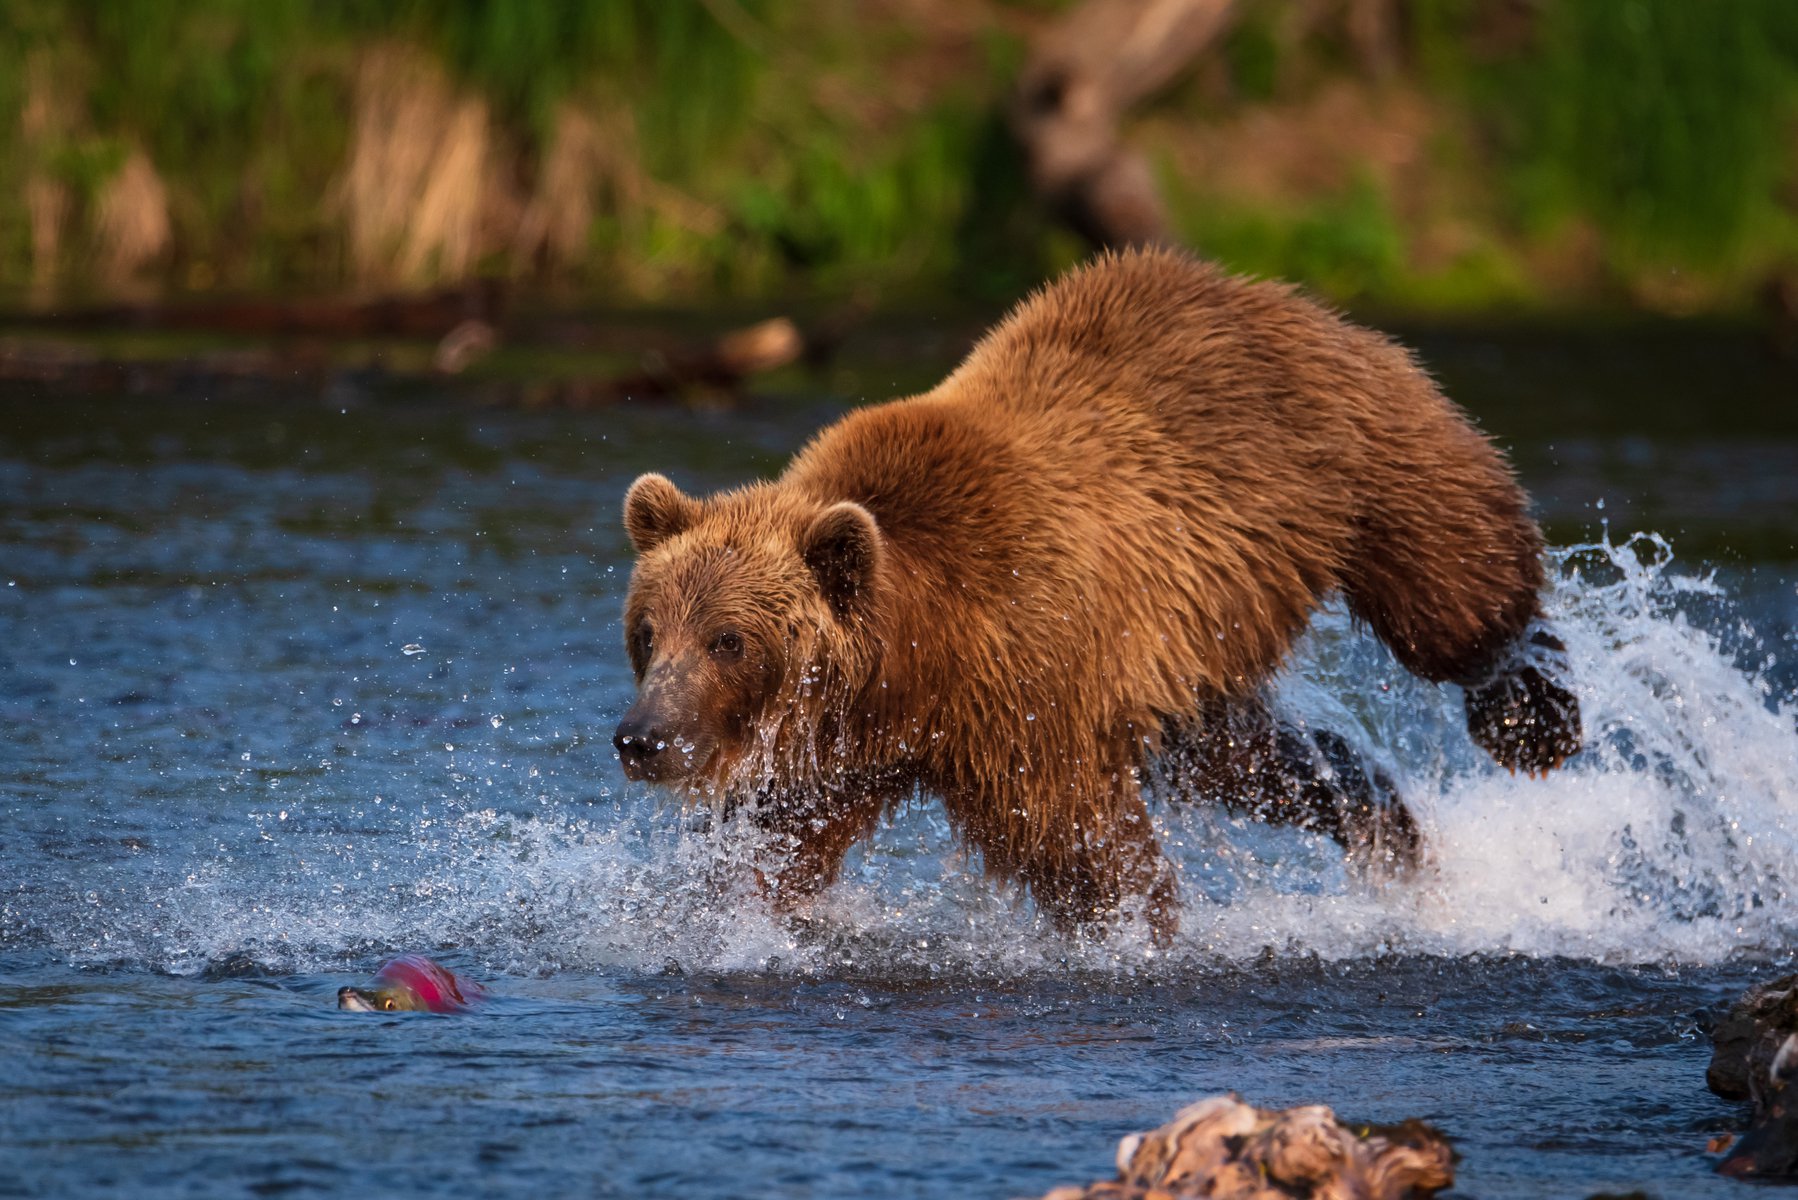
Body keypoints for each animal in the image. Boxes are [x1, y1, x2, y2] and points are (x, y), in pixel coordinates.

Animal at [614, 248, 1575, 942]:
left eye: (729, 639)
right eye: (649, 633)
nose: (641, 738)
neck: (918, 658)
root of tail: (1261, 287)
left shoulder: (1024, 682)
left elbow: (1073, 836)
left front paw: (1138, 927)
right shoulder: (837, 741)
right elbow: (776, 840)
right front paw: (709, 914)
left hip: (1345, 457)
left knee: (1453, 586)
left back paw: (1533, 715)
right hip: (1191, 655)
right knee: (1259, 762)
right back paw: (1388, 832)